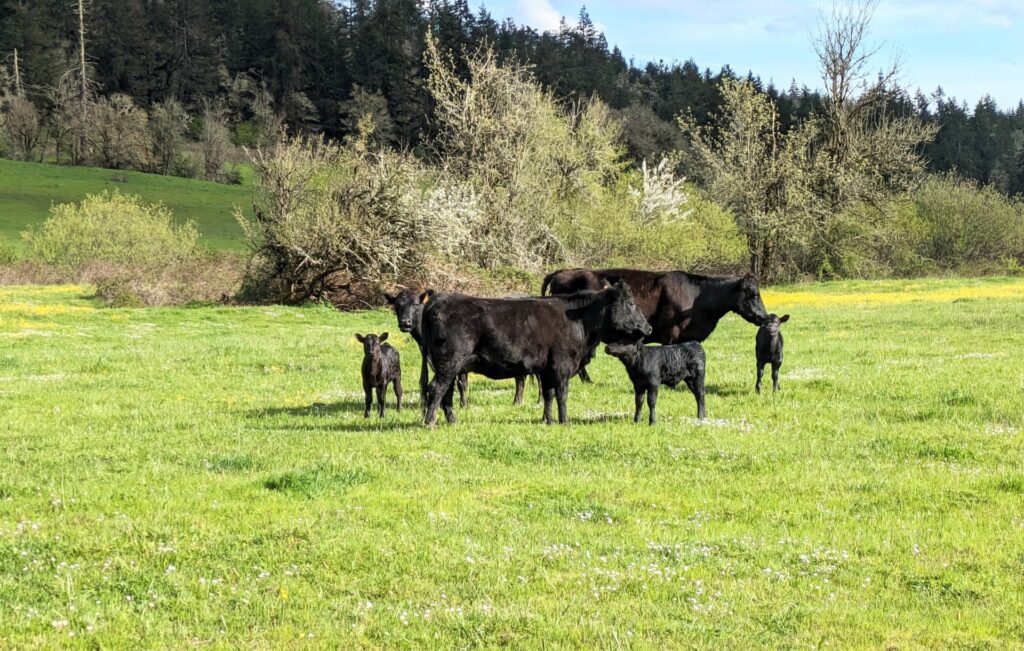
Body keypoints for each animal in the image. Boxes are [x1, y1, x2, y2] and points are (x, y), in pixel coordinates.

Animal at [384, 289, 529, 408]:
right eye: (397, 305)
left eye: (415, 304)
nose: (405, 322)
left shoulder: (461, 363)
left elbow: (461, 384)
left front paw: (463, 405)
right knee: (520, 379)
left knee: (521, 379)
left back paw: (520, 402)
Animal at [419, 281, 652, 426]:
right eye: (632, 304)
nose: (648, 327)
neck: (581, 322)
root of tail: (439, 299)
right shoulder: (562, 366)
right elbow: (562, 394)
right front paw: (564, 421)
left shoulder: (547, 369)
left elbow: (548, 395)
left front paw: (547, 420)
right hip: (450, 362)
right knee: (437, 388)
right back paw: (430, 422)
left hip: (450, 365)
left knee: (446, 392)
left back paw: (452, 420)